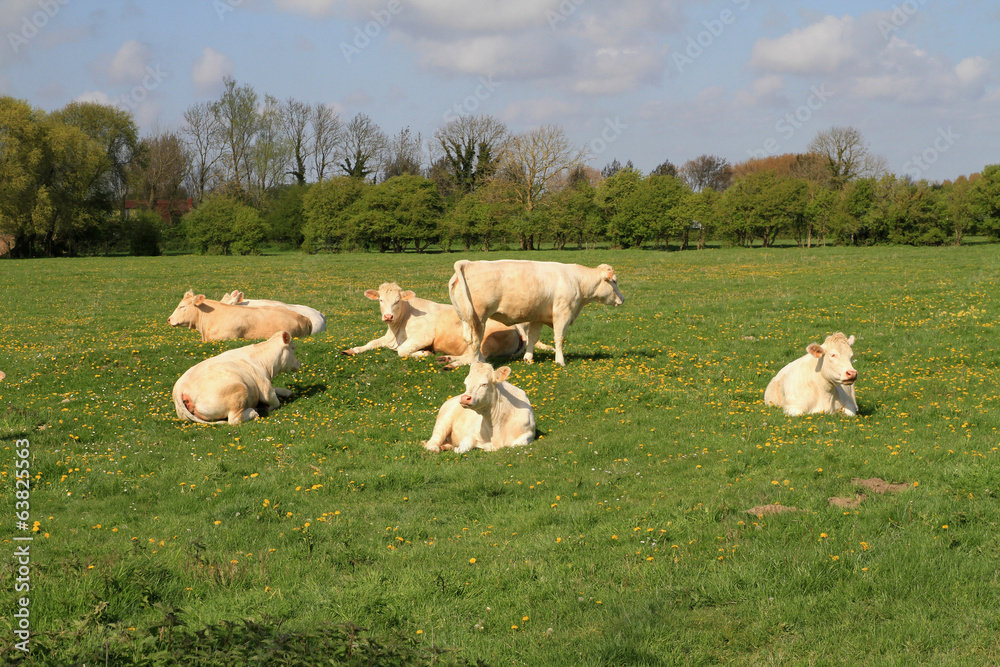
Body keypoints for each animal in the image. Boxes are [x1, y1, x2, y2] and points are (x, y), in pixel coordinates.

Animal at [342, 282, 550, 364]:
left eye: (397, 301)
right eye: (380, 300)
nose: (388, 317)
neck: (397, 329)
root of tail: (515, 328)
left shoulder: (424, 336)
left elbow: (402, 351)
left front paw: (424, 353)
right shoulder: (387, 338)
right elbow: (370, 343)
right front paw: (351, 350)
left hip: (485, 341)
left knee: (476, 358)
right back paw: (446, 358)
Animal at [448, 260, 624, 367]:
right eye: (614, 281)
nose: (622, 299)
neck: (577, 281)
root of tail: (468, 263)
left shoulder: (538, 317)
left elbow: (532, 337)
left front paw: (528, 358)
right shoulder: (563, 314)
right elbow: (559, 338)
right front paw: (560, 361)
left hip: (465, 318)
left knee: (469, 340)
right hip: (478, 318)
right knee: (475, 341)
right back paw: (477, 364)